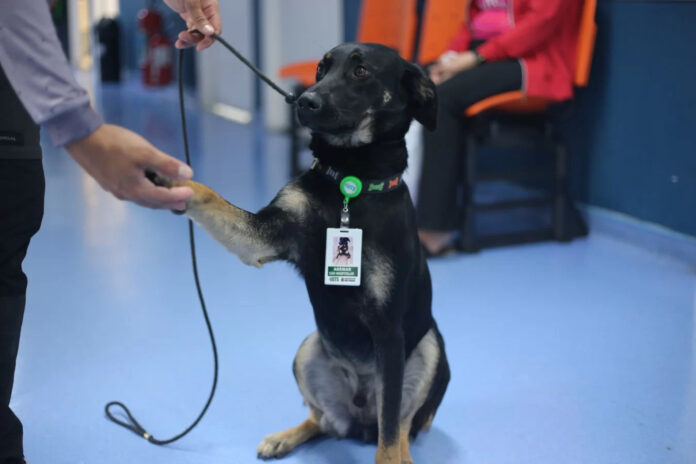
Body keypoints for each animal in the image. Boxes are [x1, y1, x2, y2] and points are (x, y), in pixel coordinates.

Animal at [157, 42, 448, 460]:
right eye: (321, 70)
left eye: (361, 71)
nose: (304, 102)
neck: (350, 183)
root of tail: (359, 419)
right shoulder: (262, 237)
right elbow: (209, 196)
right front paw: (167, 177)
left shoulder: (389, 332)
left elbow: (391, 429)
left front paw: (390, 455)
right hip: (308, 349)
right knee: (323, 420)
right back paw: (286, 437)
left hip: (430, 347)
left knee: (402, 426)